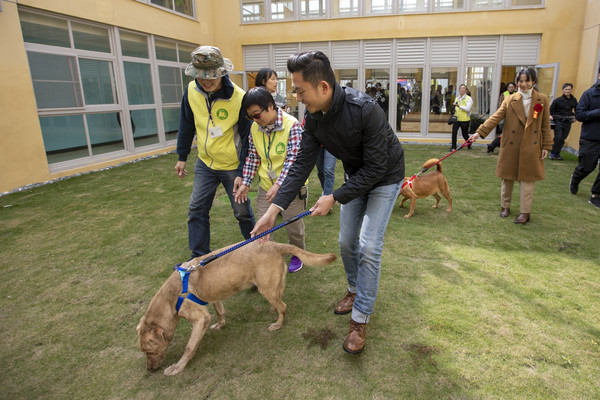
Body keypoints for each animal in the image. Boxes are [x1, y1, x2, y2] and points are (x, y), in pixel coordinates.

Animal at [137, 241, 338, 376]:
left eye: (150, 351)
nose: (149, 369)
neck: (171, 297)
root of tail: (275, 245)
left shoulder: (199, 319)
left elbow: (189, 347)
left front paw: (178, 366)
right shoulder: (213, 298)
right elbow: (220, 312)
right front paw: (221, 324)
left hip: (266, 288)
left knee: (284, 306)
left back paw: (278, 323)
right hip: (273, 284)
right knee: (280, 298)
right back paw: (273, 311)